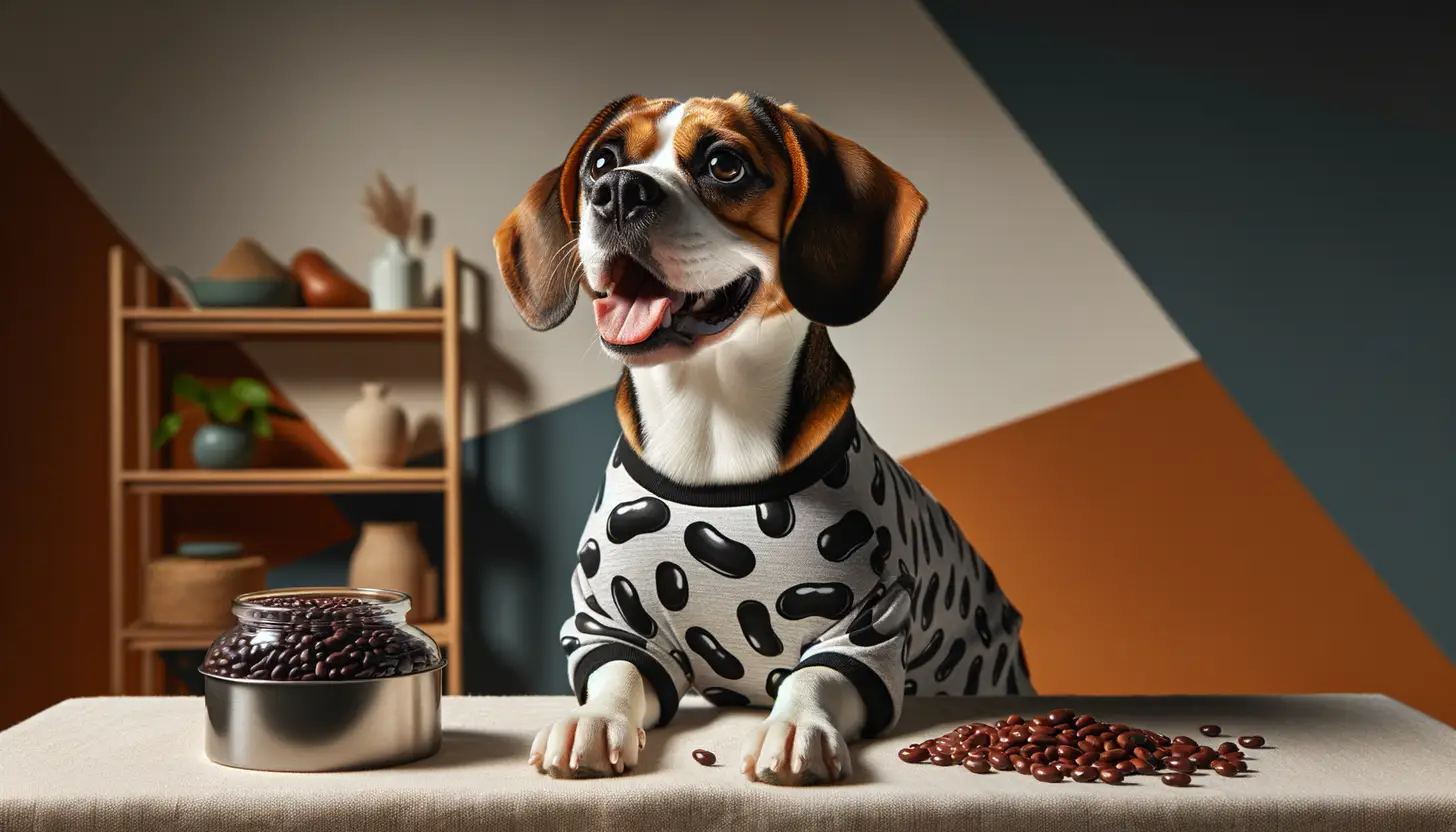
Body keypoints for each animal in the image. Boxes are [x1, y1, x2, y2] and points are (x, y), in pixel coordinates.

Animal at [495, 92, 1030, 786]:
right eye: (602, 162)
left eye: (725, 164)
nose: (617, 191)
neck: (711, 431)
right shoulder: (611, 622)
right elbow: (616, 675)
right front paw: (593, 720)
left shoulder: (869, 624)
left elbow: (815, 679)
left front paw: (796, 727)